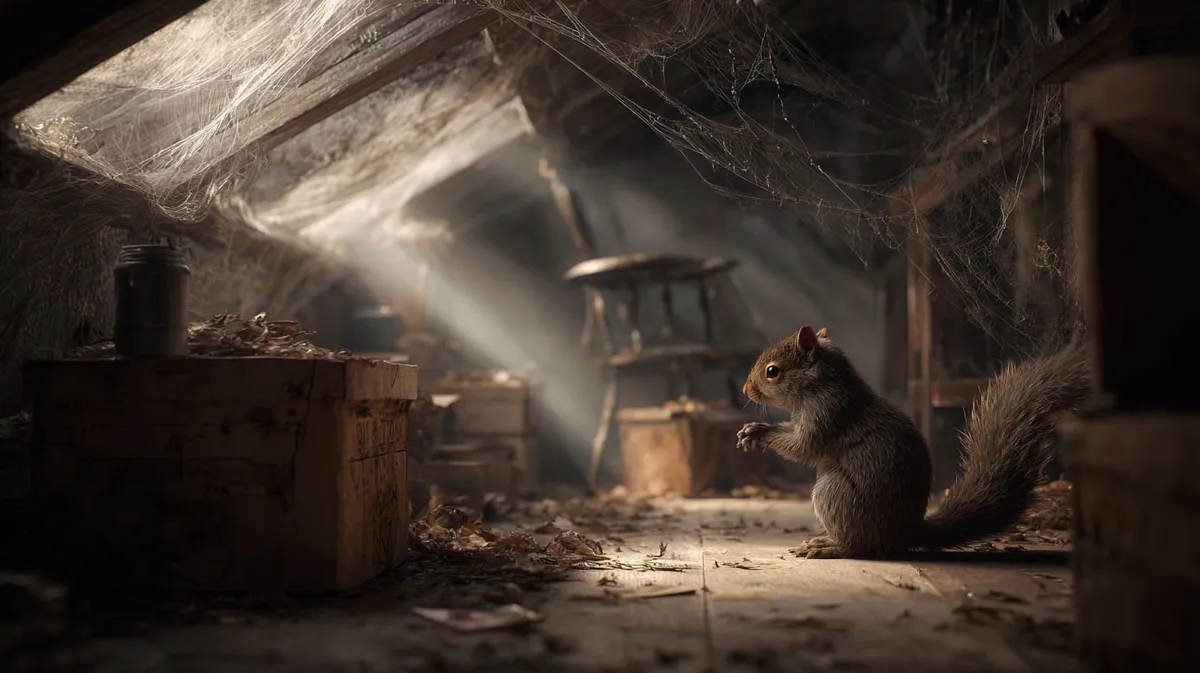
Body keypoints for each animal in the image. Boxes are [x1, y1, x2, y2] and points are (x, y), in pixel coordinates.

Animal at [737, 325, 1090, 559]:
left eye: (773, 372)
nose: (745, 390)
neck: (820, 385)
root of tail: (906, 533)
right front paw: (752, 430)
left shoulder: (829, 412)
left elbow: (803, 446)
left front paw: (761, 432)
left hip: (835, 493)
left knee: (860, 547)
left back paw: (829, 547)